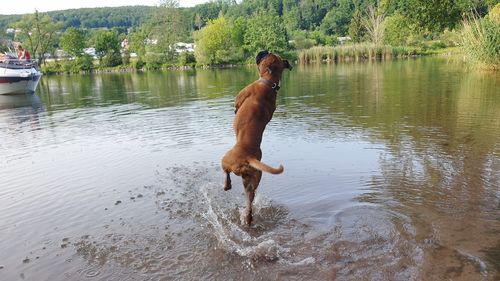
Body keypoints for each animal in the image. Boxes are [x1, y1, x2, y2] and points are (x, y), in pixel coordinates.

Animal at [221, 50, 292, 224]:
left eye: (267, 54)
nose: (263, 51)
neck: (270, 84)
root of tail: (249, 157)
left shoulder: (241, 95)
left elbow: (236, 104)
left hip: (226, 160)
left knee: (226, 173)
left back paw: (226, 185)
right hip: (252, 181)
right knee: (250, 202)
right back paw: (248, 218)